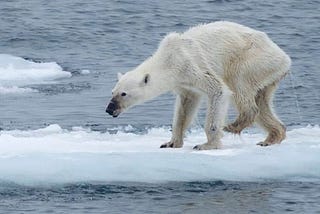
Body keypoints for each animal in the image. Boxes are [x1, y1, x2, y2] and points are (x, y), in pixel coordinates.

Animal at [106, 20, 292, 150]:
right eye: (112, 92)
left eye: (123, 93)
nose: (109, 109)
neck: (168, 59)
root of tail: (285, 57)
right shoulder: (183, 82)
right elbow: (185, 106)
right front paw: (171, 143)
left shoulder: (191, 66)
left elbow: (218, 90)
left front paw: (207, 145)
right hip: (268, 73)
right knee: (262, 101)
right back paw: (271, 138)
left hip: (252, 60)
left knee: (239, 86)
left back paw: (233, 125)